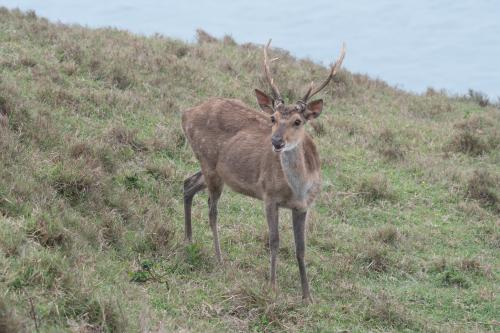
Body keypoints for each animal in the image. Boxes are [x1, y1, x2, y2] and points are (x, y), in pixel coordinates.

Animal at [182, 39, 346, 300]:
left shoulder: (304, 206)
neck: (298, 188)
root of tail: (186, 112)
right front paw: (272, 286)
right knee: (212, 209)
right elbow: (275, 240)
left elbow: (301, 248)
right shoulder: (269, 195)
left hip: (214, 170)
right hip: (208, 162)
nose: (276, 142)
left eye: (298, 121)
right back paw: (219, 259)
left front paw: (307, 296)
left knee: (188, 183)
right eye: (273, 117)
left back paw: (188, 239)